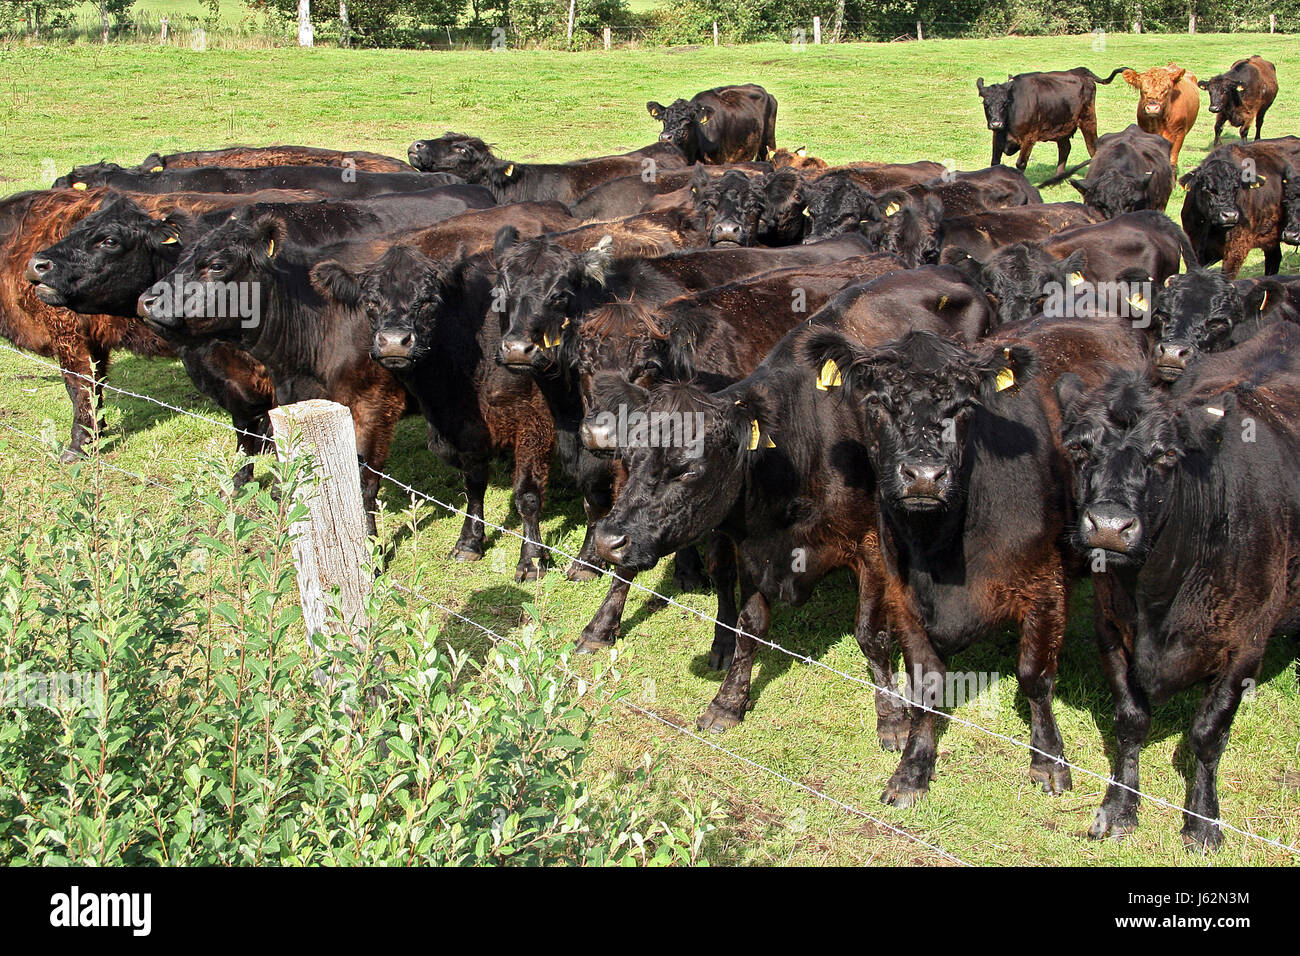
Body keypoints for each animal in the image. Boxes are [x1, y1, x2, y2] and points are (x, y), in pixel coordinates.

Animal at [977, 70, 1128, 178]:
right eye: (985, 104)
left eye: (1005, 103)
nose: (996, 123)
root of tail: (1081, 71)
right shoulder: (997, 137)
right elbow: (994, 162)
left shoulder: (1029, 138)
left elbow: (1021, 164)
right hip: (1063, 126)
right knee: (1065, 148)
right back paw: (1058, 176)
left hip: (1088, 120)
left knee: (1092, 148)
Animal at [1055, 325, 1300, 848]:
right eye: (1080, 448)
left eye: (1166, 454)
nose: (1109, 527)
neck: (1158, 598)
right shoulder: (1110, 627)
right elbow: (1131, 721)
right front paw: (1119, 807)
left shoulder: (1246, 643)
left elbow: (1208, 733)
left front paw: (1203, 820)